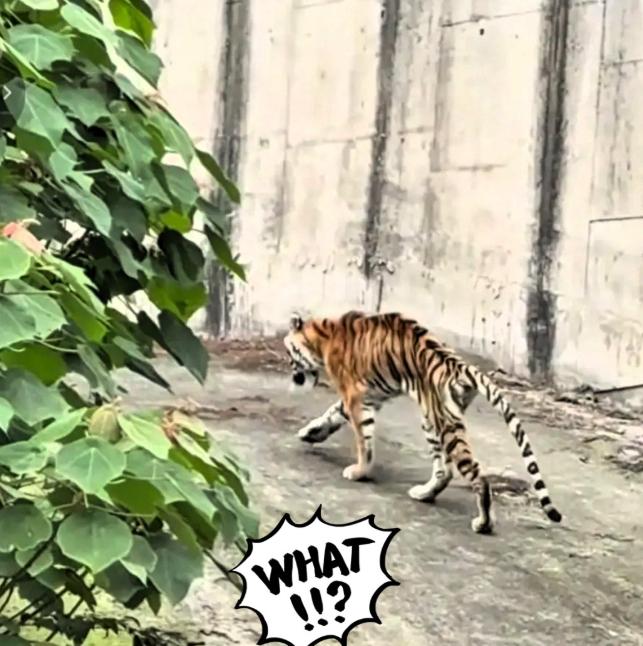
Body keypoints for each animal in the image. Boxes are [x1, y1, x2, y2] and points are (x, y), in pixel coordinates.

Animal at [283, 311, 562, 534]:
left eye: (289, 352)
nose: (291, 370)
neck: (323, 335)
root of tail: (459, 365)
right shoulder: (368, 397)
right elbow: (332, 413)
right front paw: (310, 433)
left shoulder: (356, 397)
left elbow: (364, 441)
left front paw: (359, 471)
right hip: (432, 420)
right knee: (445, 470)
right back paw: (424, 494)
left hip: (443, 422)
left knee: (475, 474)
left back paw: (483, 523)